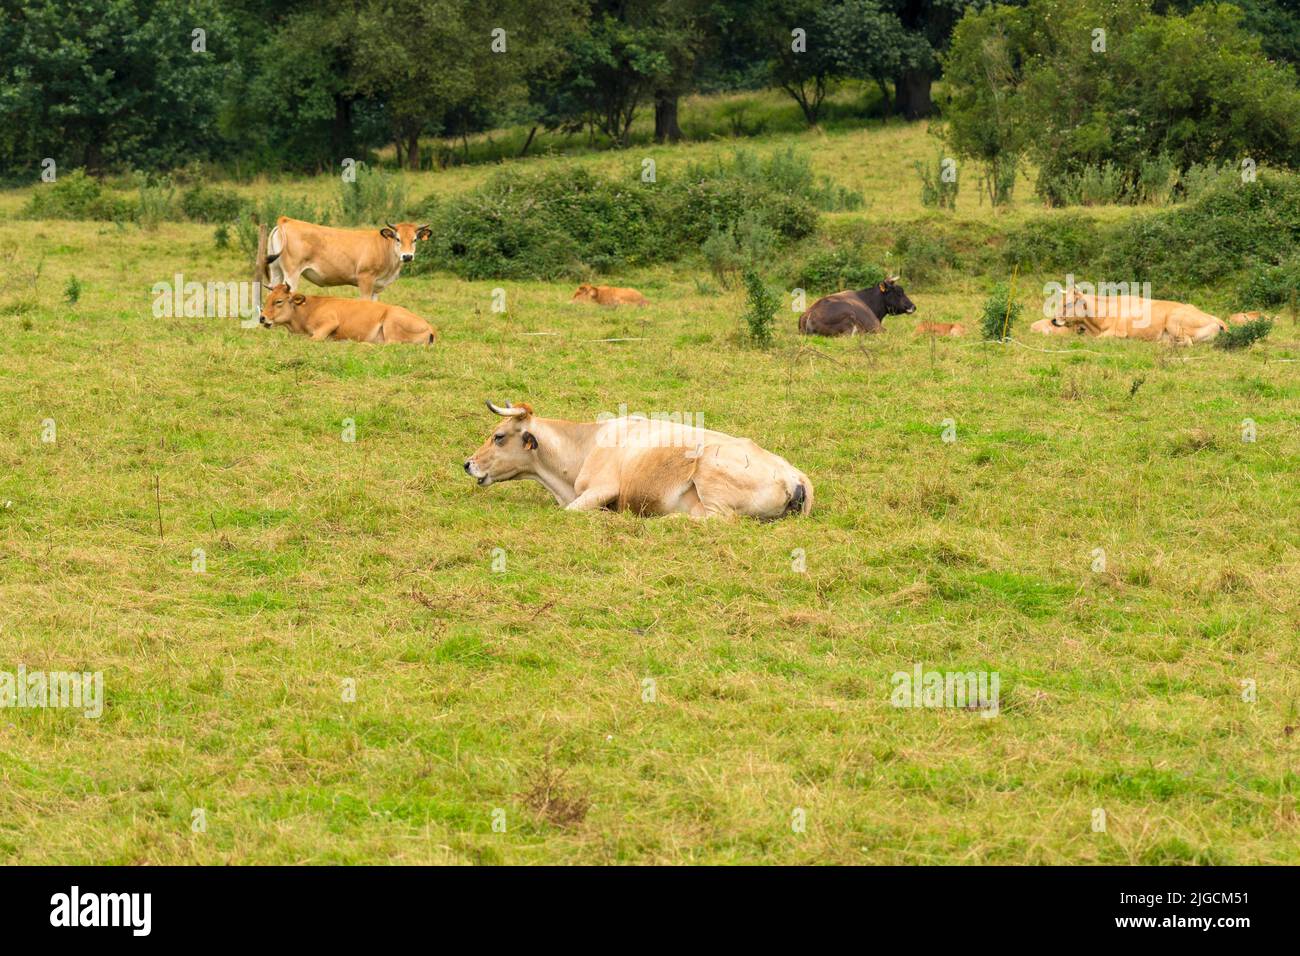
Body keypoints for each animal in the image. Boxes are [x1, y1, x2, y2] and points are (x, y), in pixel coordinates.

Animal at [258, 284, 436, 344]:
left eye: (279, 301)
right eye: (267, 299)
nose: (262, 318)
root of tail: (429, 326)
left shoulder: (330, 323)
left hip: (391, 323)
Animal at [260, 217, 431, 300]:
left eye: (415, 239)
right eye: (397, 239)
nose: (407, 256)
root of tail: (286, 220)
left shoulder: (376, 286)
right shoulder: (365, 279)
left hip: (276, 270)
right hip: (292, 272)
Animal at [1050, 290, 1226, 343]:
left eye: (1068, 304)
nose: (1053, 320)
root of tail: (1215, 318)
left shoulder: (1117, 332)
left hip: (1174, 321)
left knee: (1187, 342)